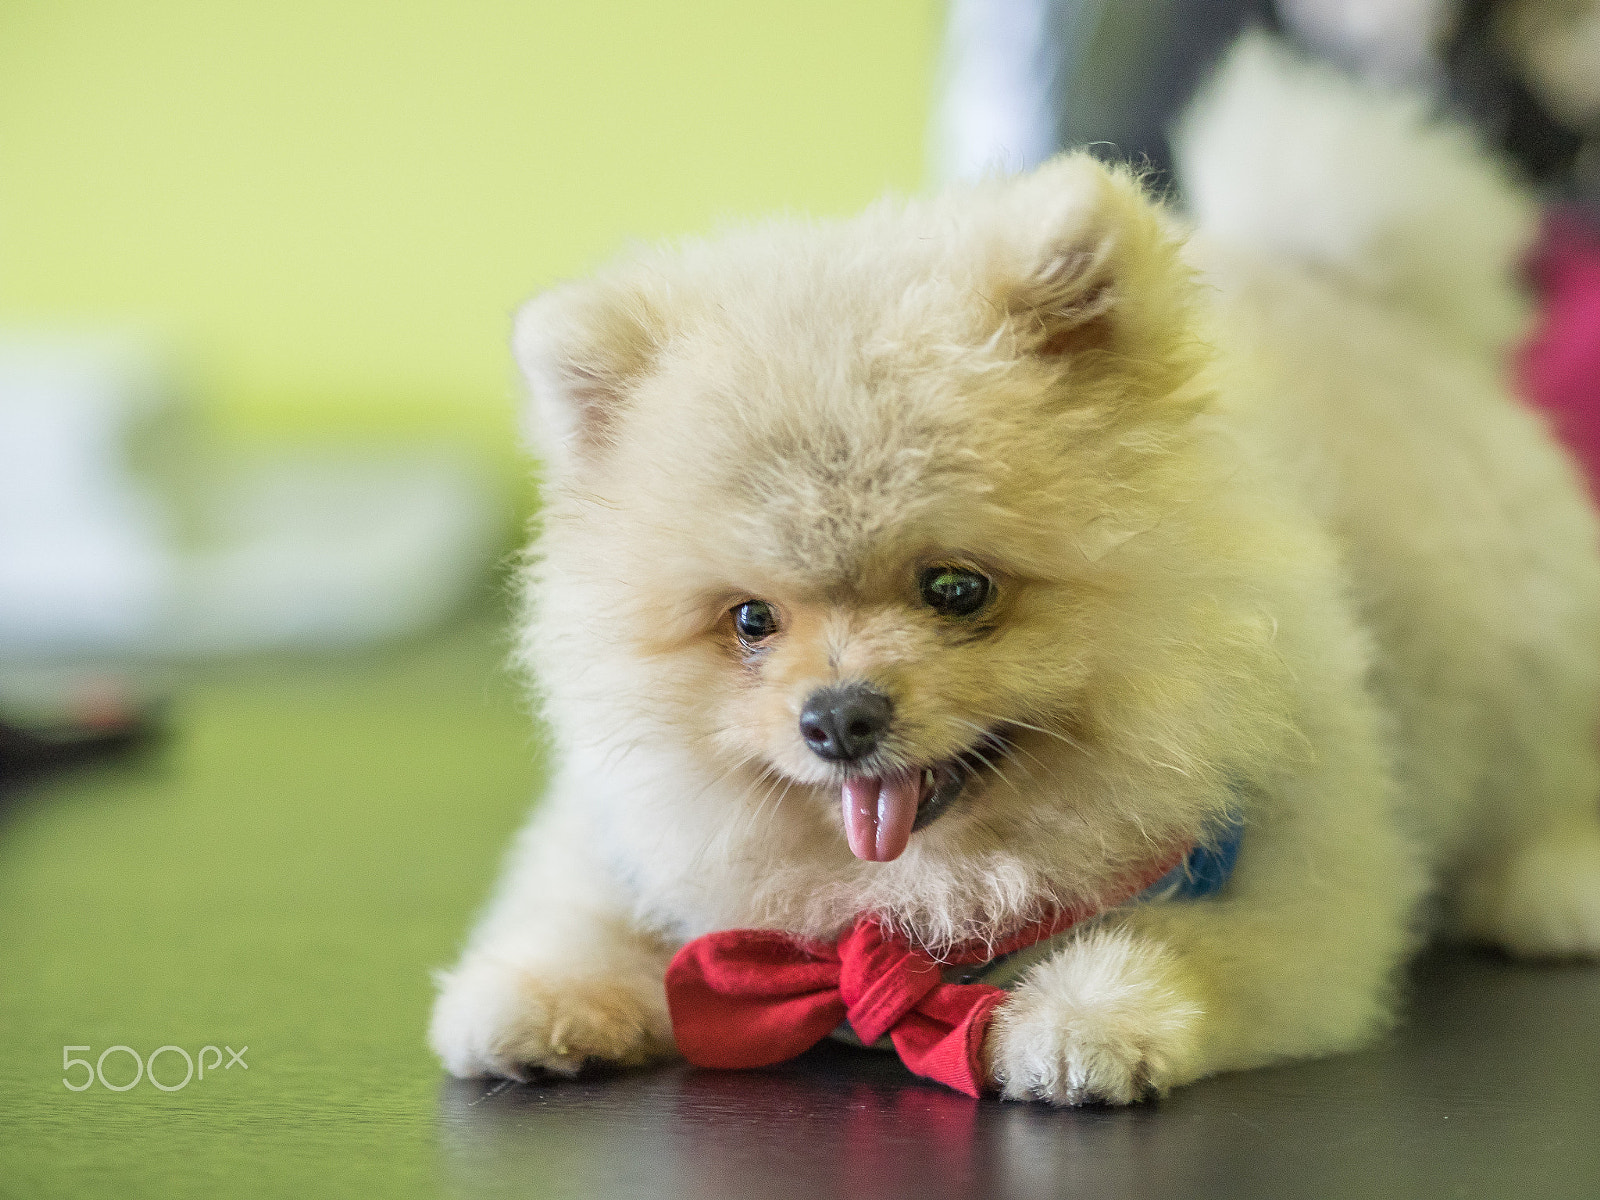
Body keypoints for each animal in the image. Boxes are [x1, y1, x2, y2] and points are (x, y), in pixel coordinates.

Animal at [425, 37, 1600, 1107]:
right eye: (751, 620)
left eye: (957, 589)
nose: (838, 717)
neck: (916, 897)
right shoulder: (632, 833)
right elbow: (575, 906)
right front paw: (540, 996)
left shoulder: (1306, 885)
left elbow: (1190, 943)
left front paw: (1089, 1018)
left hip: (1528, 653)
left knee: (1545, 773)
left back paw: (1554, 884)